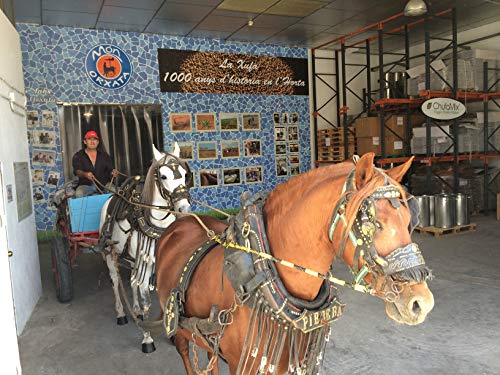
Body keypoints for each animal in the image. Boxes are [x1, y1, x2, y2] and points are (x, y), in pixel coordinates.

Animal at [98, 144, 190, 352]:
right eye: (163, 176)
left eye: (183, 174)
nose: (184, 208)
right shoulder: (146, 265)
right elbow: (147, 302)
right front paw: (147, 338)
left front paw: (171, 334)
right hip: (109, 254)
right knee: (115, 281)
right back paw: (122, 314)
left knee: (133, 282)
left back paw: (136, 311)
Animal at [155, 153, 434, 375]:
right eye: (372, 223)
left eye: (410, 219)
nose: (422, 303)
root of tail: (178, 224)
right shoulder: (242, 364)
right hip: (178, 326)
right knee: (185, 353)